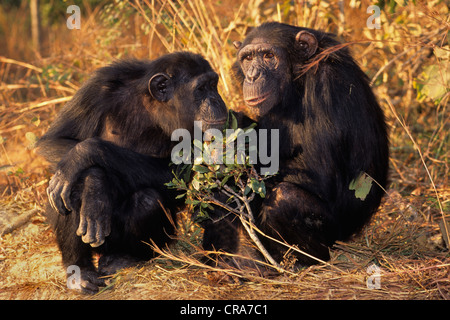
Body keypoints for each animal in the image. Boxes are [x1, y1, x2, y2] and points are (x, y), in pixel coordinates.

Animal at [37, 52, 229, 292]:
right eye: (202, 88)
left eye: (213, 85)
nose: (216, 99)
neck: (152, 107)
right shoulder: (96, 87)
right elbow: (56, 139)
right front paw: (94, 181)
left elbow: (173, 176)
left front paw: (87, 162)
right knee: (69, 189)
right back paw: (80, 271)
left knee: (146, 201)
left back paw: (124, 258)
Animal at [201, 23, 390, 268]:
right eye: (248, 58)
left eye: (268, 56)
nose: (252, 76)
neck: (297, 81)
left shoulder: (327, 85)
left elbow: (319, 175)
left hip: (335, 234)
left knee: (285, 198)